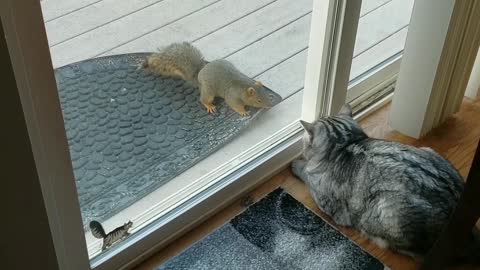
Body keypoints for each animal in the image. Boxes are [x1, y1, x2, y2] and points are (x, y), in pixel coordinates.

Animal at [141, 41, 272, 115]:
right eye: (258, 100)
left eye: (266, 94)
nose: (270, 105)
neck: (243, 86)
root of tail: (199, 74)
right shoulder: (233, 97)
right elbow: (235, 105)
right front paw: (243, 111)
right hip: (209, 91)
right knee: (203, 99)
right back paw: (209, 105)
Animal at [290, 104, 470, 260]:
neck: (346, 144)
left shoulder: (324, 200)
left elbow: (305, 172)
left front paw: (296, 164)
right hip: (430, 152)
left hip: (388, 208)